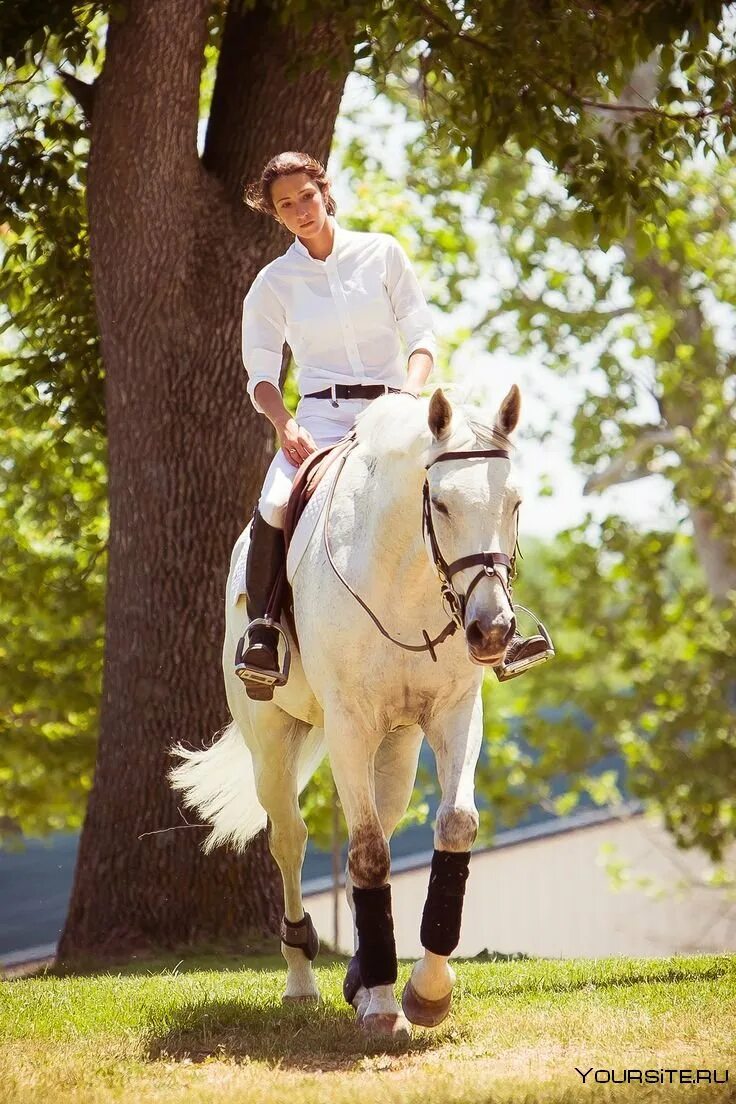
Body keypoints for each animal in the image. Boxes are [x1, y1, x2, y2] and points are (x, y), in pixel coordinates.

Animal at [171, 390, 520, 1042]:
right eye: (440, 502)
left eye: (514, 501)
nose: (492, 630)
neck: (407, 583)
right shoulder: (350, 727)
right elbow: (366, 853)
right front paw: (384, 1003)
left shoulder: (454, 713)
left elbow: (453, 826)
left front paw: (424, 992)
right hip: (271, 744)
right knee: (289, 839)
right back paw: (302, 979)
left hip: (399, 743)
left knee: (381, 820)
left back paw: (359, 977)